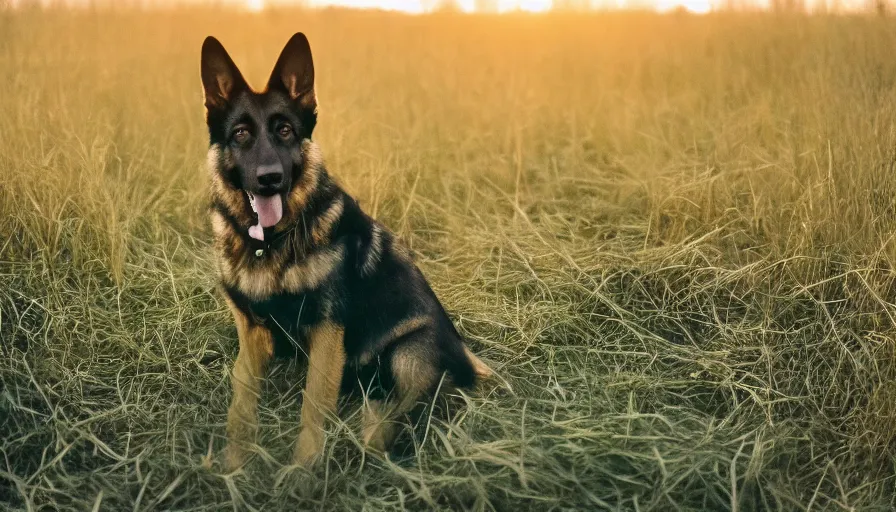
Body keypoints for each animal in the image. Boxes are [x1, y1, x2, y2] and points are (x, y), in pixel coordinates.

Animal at [200, 34, 494, 470]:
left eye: (285, 130)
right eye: (239, 134)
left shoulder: (326, 330)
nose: (270, 179)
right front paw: (235, 463)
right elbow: (242, 398)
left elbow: (313, 404)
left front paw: (302, 471)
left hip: (408, 353)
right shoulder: (251, 331)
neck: (268, 243)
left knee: (398, 416)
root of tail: (468, 361)